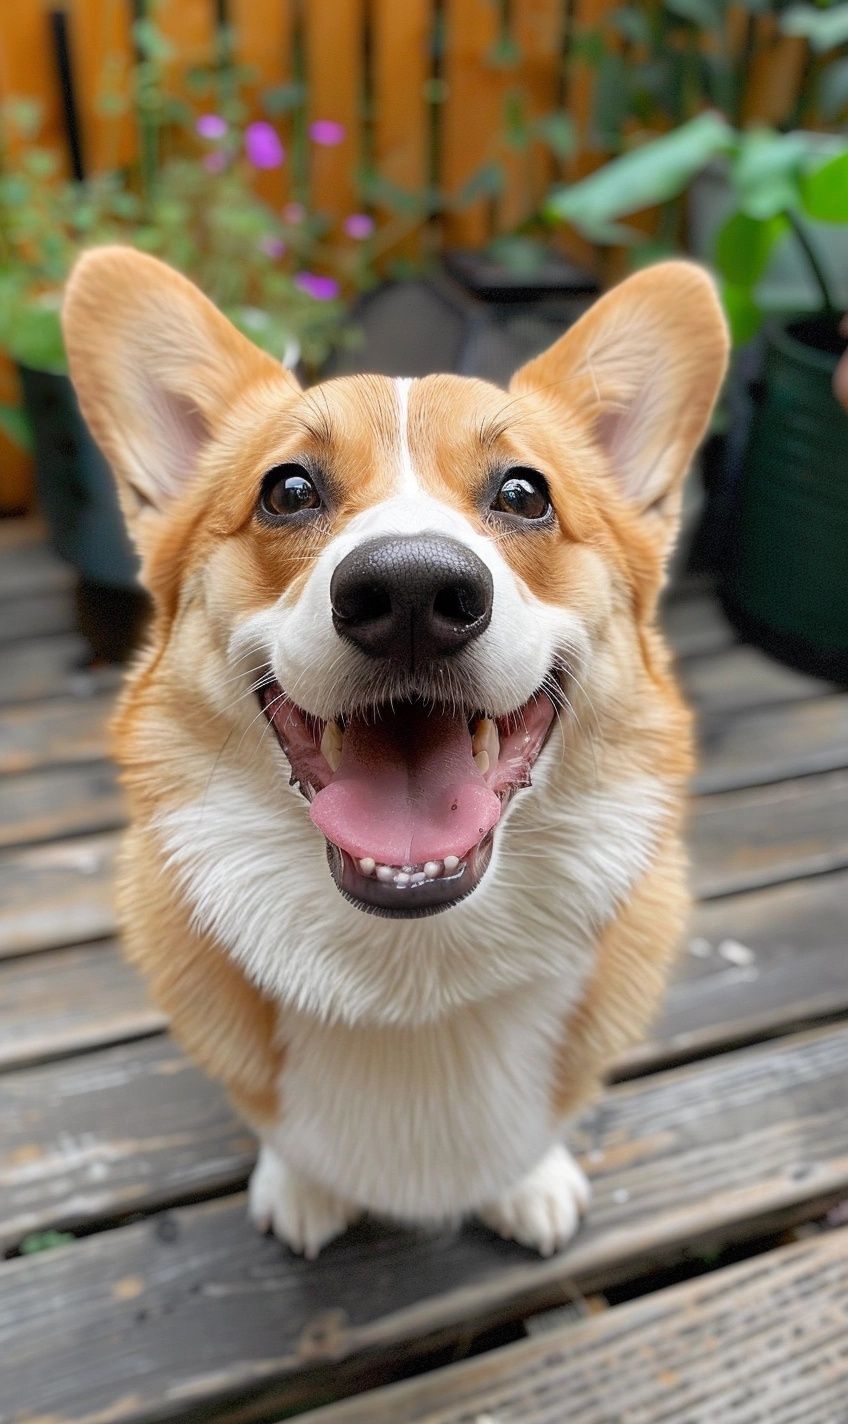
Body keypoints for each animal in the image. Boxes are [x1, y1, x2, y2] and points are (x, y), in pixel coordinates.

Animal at [62, 247, 728, 1258]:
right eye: (288, 490)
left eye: (524, 494)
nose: (411, 590)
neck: (414, 974)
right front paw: (301, 1184)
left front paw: (529, 1180)